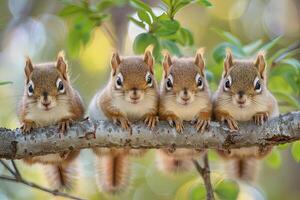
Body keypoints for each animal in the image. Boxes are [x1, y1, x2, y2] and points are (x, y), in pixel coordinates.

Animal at [17, 50, 84, 190]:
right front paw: (27, 124)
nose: (45, 101)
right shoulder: (23, 110)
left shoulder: (78, 107)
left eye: (61, 85)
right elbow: (24, 119)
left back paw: (64, 152)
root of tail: (53, 161)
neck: (48, 113)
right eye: (30, 88)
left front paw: (64, 121)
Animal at [88, 47, 159, 194]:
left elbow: (154, 112)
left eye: (149, 79)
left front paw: (151, 117)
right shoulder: (104, 100)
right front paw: (120, 118)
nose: (135, 93)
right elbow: (109, 110)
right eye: (118, 81)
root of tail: (118, 151)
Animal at [213, 49, 278, 182]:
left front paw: (260, 115)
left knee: (260, 154)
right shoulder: (215, 102)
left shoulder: (271, 103)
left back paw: (263, 148)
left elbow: (269, 110)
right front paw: (227, 117)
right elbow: (217, 113)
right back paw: (226, 150)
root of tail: (243, 155)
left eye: (258, 85)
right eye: (227, 83)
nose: (241, 97)